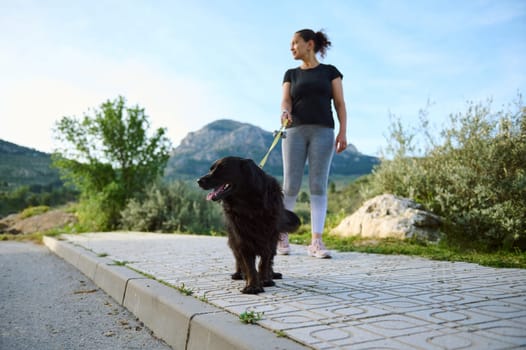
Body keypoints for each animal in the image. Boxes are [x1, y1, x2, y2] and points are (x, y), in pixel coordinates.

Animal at [198, 156, 302, 292]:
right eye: (211, 169)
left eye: (222, 168)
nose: (198, 181)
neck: (248, 203)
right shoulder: (242, 235)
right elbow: (248, 264)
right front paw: (252, 286)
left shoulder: (269, 235)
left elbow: (264, 261)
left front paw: (265, 280)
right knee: (238, 258)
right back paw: (239, 274)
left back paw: (272, 274)